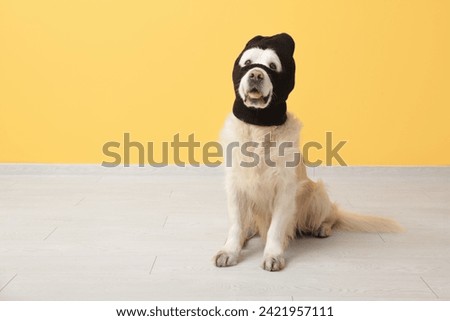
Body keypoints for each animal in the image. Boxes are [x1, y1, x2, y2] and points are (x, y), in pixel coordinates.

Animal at [213, 33, 402, 272]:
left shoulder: (285, 190)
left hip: (315, 194)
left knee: (332, 214)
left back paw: (323, 228)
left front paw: (273, 255)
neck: (259, 129)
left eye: (272, 66)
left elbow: (276, 229)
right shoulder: (235, 186)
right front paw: (230, 250)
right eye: (247, 63)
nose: (256, 74)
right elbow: (236, 224)